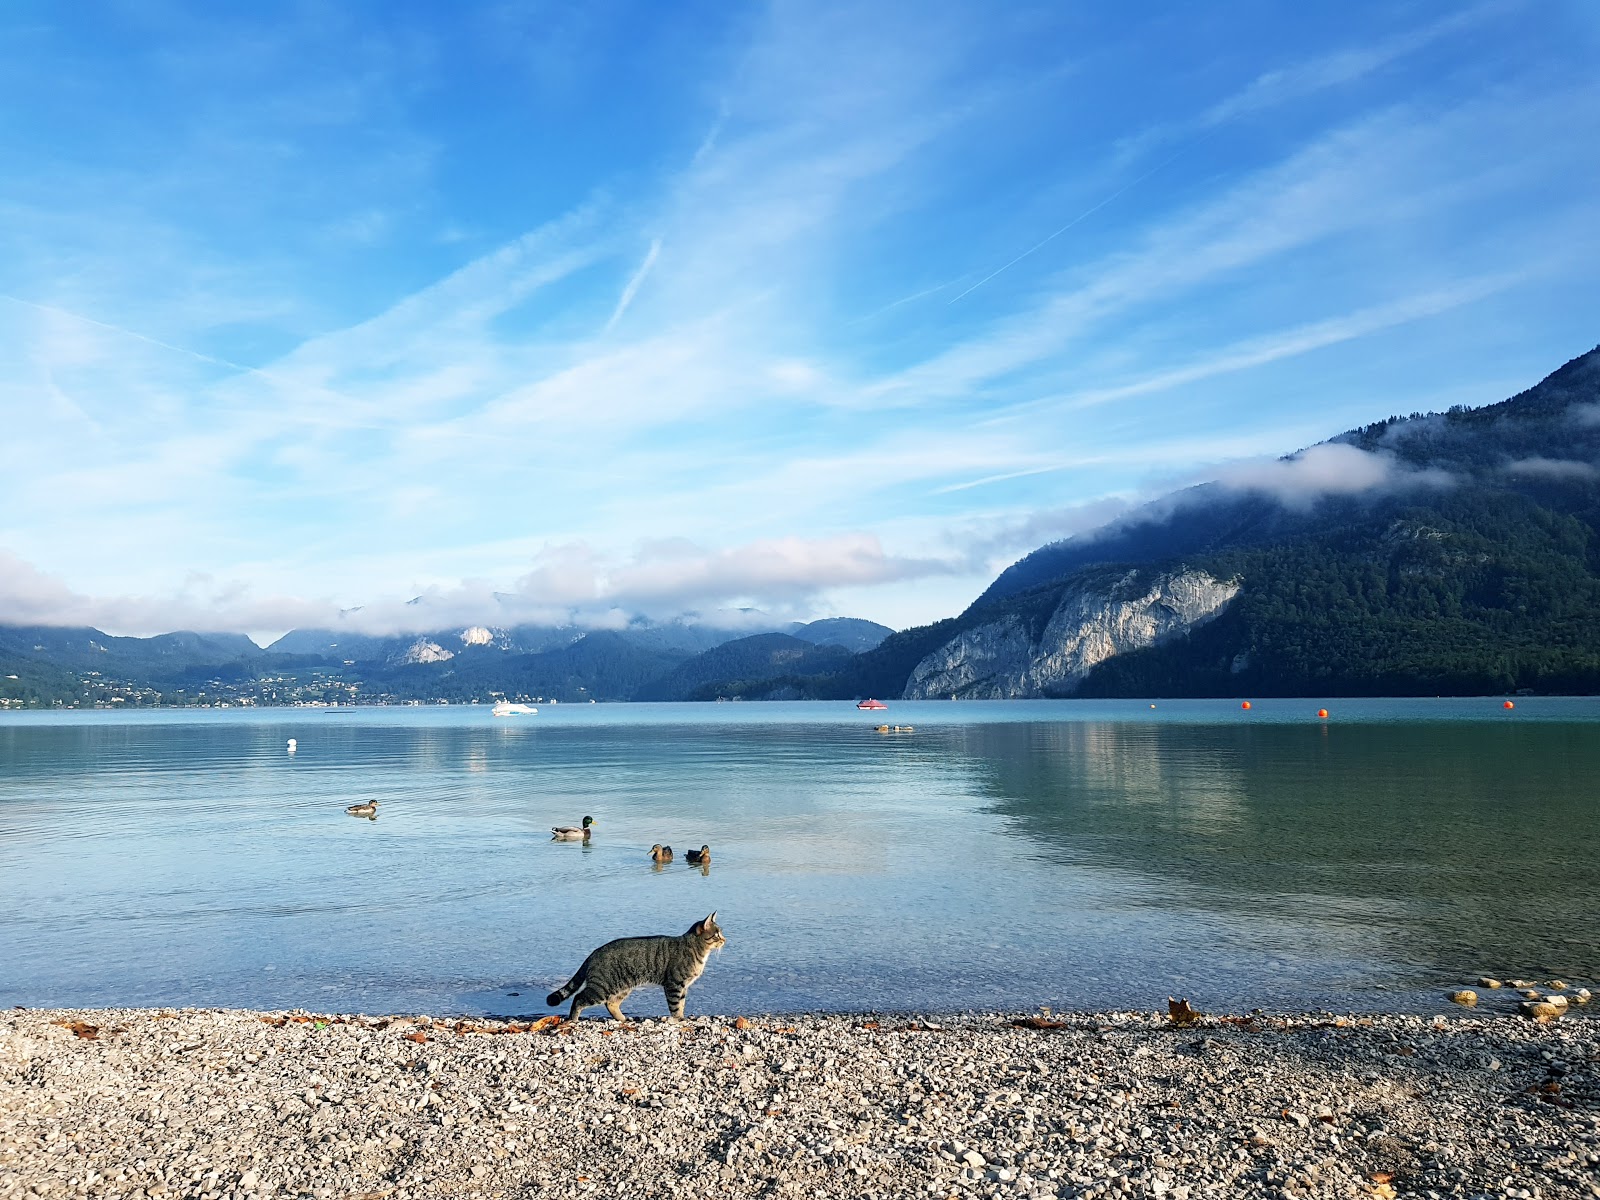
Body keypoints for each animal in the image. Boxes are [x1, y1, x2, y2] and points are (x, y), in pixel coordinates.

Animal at [547, 908, 729, 1024]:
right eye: (717, 934)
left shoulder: (683, 987)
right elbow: (675, 1006)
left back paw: (623, 1019)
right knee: (579, 998)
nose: (725, 940)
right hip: (602, 987)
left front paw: (682, 1017)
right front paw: (678, 1020)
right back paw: (573, 1019)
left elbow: (682, 1004)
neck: (697, 950)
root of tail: (594, 952)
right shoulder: (674, 984)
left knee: (611, 1004)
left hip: (622, 987)